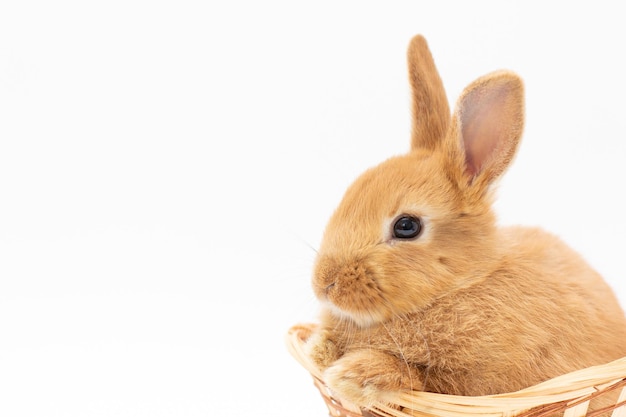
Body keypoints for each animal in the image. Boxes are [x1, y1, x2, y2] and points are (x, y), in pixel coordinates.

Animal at [302, 35, 624, 406]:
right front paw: (318, 350)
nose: (324, 284)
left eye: (407, 226)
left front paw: (354, 374)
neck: (461, 285)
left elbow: (421, 377)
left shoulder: (478, 384)